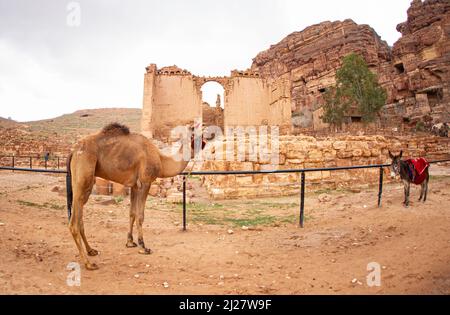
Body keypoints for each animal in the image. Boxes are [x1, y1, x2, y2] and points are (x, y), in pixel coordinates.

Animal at [65, 122, 206, 270]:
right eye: (196, 133)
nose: (203, 145)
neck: (161, 160)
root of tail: (73, 151)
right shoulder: (145, 182)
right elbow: (140, 215)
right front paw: (143, 246)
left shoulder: (134, 185)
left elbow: (132, 213)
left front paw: (130, 242)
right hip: (83, 173)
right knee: (74, 222)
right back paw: (88, 263)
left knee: (80, 217)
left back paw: (91, 250)